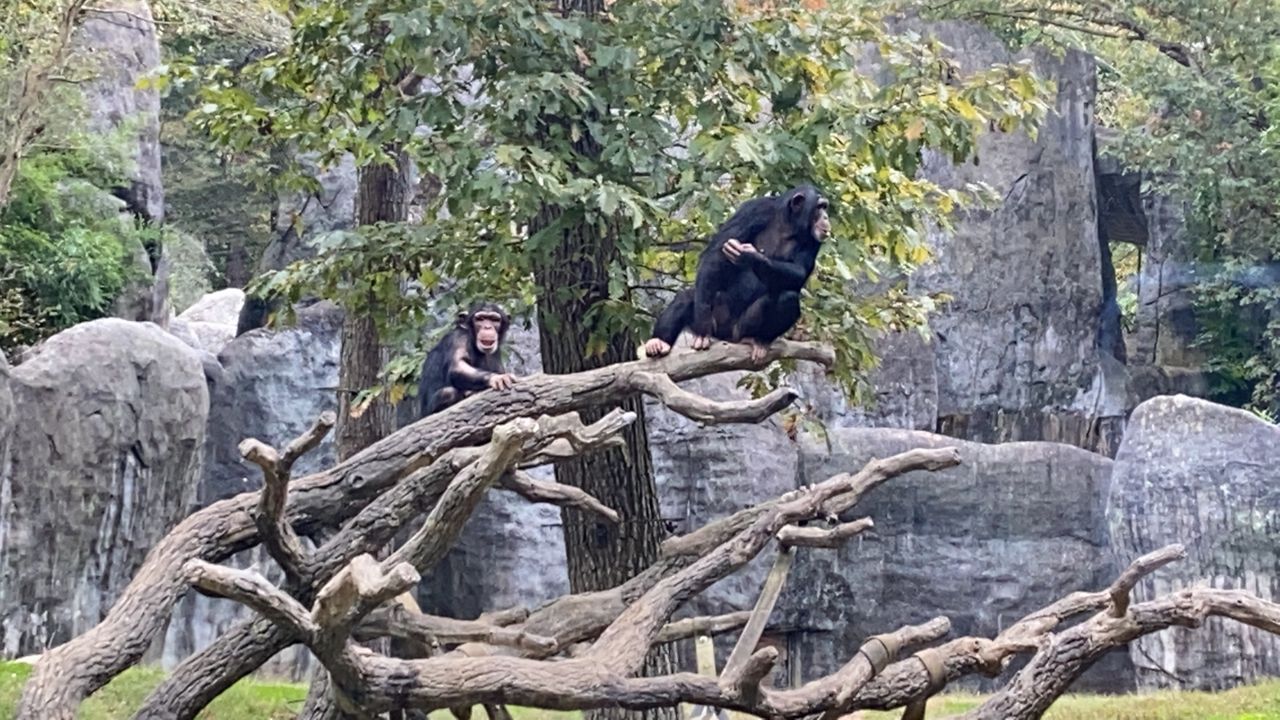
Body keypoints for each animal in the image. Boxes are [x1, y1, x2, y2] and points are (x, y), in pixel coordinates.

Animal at [640, 181, 829, 361]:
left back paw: (759, 341)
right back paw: (659, 342)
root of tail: (726, 337)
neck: (788, 223)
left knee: (788, 298)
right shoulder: (753, 210)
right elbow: (715, 256)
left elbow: (800, 272)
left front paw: (750, 256)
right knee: (687, 296)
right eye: (820, 207)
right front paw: (702, 327)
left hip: (740, 329)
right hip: (717, 318)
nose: (826, 217)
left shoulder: (813, 240)